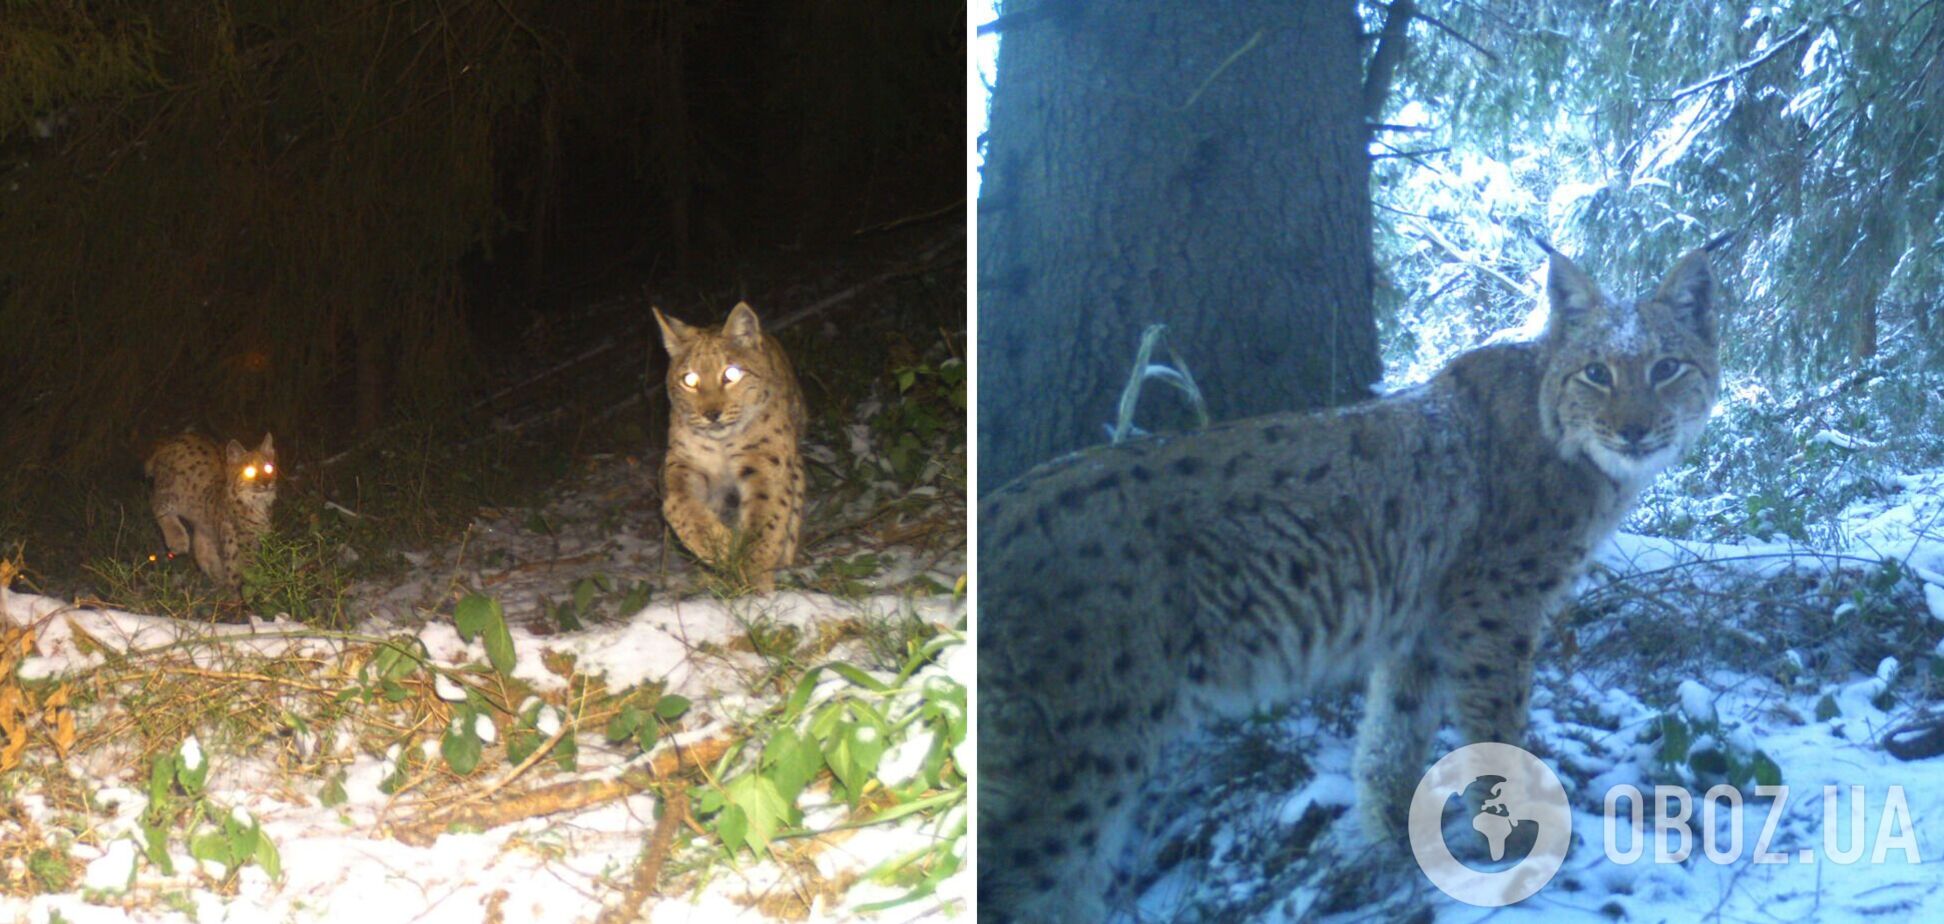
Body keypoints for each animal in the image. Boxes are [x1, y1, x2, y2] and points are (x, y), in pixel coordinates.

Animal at [146, 431, 281, 587]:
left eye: (269, 468)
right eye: (250, 471)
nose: (266, 483)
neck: (257, 503)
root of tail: (173, 439)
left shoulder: (257, 542)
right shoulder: (237, 551)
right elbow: (240, 578)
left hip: (200, 518)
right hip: (171, 490)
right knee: (156, 503)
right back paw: (178, 540)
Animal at [653, 301, 804, 591]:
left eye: (731, 374)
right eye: (690, 380)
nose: (712, 414)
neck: (722, 442)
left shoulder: (766, 461)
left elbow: (767, 518)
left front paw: (753, 576)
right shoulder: (683, 461)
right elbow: (679, 505)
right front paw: (719, 548)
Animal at [979, 242, 1726, 922]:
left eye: (1665, 369)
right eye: (1597, 373)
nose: (1634, 431)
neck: (1569, 439)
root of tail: (994, 510)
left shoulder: (1423, 622)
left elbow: (1393, 734)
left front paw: (1396, 839)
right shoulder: (1494, 607)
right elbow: (1496, 720)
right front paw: (1525, 842)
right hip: (1081, 752)